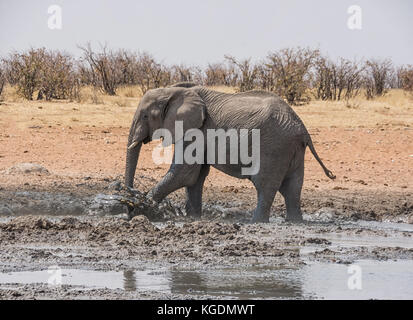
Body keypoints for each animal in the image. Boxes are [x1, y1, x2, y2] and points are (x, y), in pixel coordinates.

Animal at [124, 82, 334, 222]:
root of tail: (302, 128)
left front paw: (142, 209)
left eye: (145, 116)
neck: (173, 90)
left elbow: (184, 173)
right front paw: (193, 218)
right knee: (292, 187)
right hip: (292, 149)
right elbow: (195, 177)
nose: (127, 208)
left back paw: (255, 222)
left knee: (265, 185)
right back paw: (294, 222)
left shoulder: (196, 129)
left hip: (274, 147)